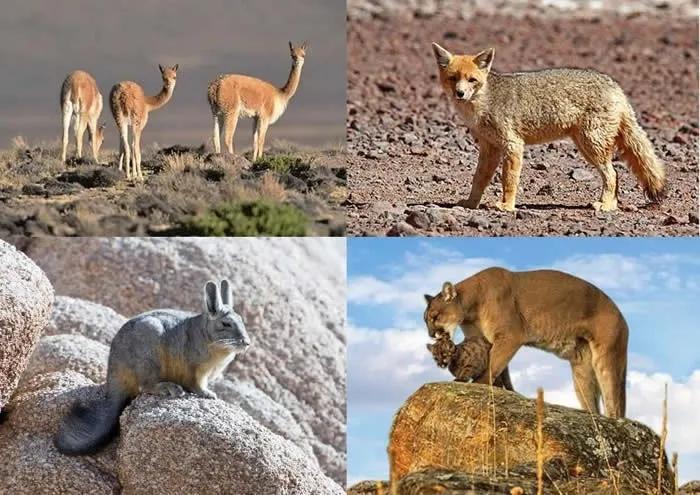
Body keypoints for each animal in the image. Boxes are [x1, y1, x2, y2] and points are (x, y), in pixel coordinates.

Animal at [430, 43, 664, 212]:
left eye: (472, 80)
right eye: (453, 78)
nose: (460, 93)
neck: (483, 102)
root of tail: (615, 85)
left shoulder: (513, 145)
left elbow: (509, 180)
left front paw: (506, 206)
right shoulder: (490, 148)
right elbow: (478, 179)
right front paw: (471, 203)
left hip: (592, 146)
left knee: (613, 174)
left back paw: (605, 205)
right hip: (586, 146)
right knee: (615, 174)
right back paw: (611, 205)